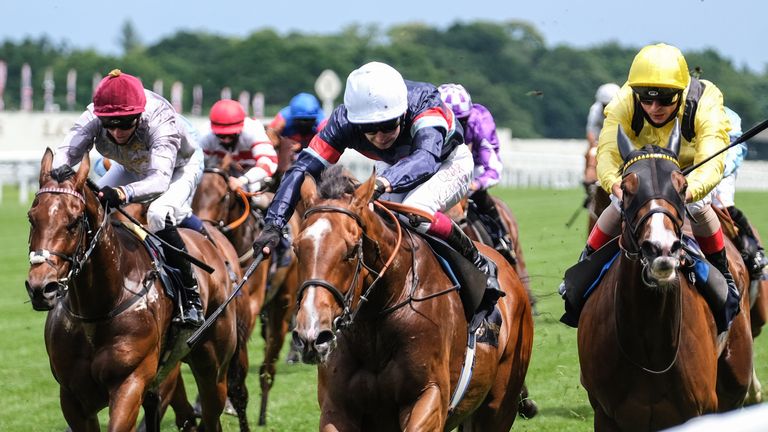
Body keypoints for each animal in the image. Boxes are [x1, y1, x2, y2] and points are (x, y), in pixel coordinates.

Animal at [25, 149, 237, 432]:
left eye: (74, 222)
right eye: (31, 217)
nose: (41, 288)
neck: (98, 308)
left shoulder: (129, 383)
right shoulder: (72, 397)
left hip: (213, 369)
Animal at [191, 155, 300, 426]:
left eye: (223, 196)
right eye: (194, 192)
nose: (205, 229)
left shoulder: (249, 306)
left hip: (283, 302)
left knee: (270, 357)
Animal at [290, 167, 536, 430]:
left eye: (351, 251)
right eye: (296, 248)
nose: (312, 333)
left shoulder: (428, 395)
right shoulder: (337, 406)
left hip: (497, 406)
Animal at [576, 130, 752, 430]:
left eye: (682, 187)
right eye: (628, 188)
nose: (661, 248)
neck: (651, 347)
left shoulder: (698, 411)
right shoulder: (605, 414)